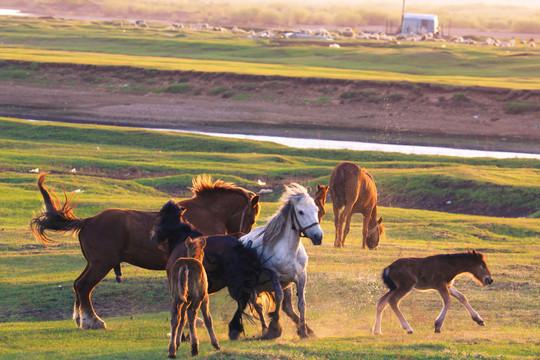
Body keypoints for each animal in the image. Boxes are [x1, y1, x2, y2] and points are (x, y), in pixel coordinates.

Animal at [30, 174, 260, 330]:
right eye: (252, 217)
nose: (244, 237)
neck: (206, 213)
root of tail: (87, 221)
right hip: (101, 265)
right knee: (84, 286)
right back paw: (93, 321)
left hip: (93, 264)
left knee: (78, 285)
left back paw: (81, 319)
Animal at [239, 184, 322, 338]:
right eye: (301, 212)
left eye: (316, 210)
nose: (318, 236)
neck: (290, 252)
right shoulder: (275, 276)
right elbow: (278, 297)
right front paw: (275, 328)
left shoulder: (301, 277)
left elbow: (301, 303)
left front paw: (304, 331)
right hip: (251, 286)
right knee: (257, 305)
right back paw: (265, 330)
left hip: (285, 285)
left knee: (287, 307)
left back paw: (307, 329)